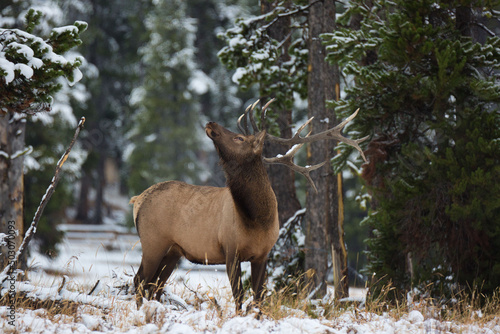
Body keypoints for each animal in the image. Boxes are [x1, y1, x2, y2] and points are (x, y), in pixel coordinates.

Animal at [129, 98, 366, 310]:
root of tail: (138, 199)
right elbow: (239, 295)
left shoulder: (262, 254)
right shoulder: (230, 250)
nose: (211, 123)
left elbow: (259, 295)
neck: (257, 219)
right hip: (152, 241)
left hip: (172, 250)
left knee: (154, 285)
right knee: (140, 280)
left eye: (239, 138)